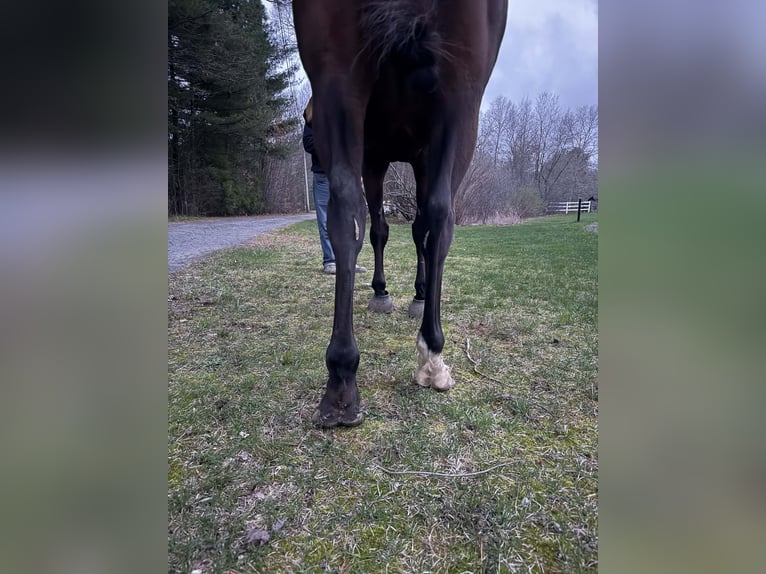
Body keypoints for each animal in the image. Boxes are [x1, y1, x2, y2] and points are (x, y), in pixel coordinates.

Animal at [292, 0, 507, 427]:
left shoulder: (386, 156)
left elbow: (400, 228)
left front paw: (410, 293)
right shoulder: (386, 158)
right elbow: (397, 230)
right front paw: (394, 293)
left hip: (340, 79)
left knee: (351, 206)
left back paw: (342, 379)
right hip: (460, 98)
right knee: (434, 216)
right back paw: (429, 354)